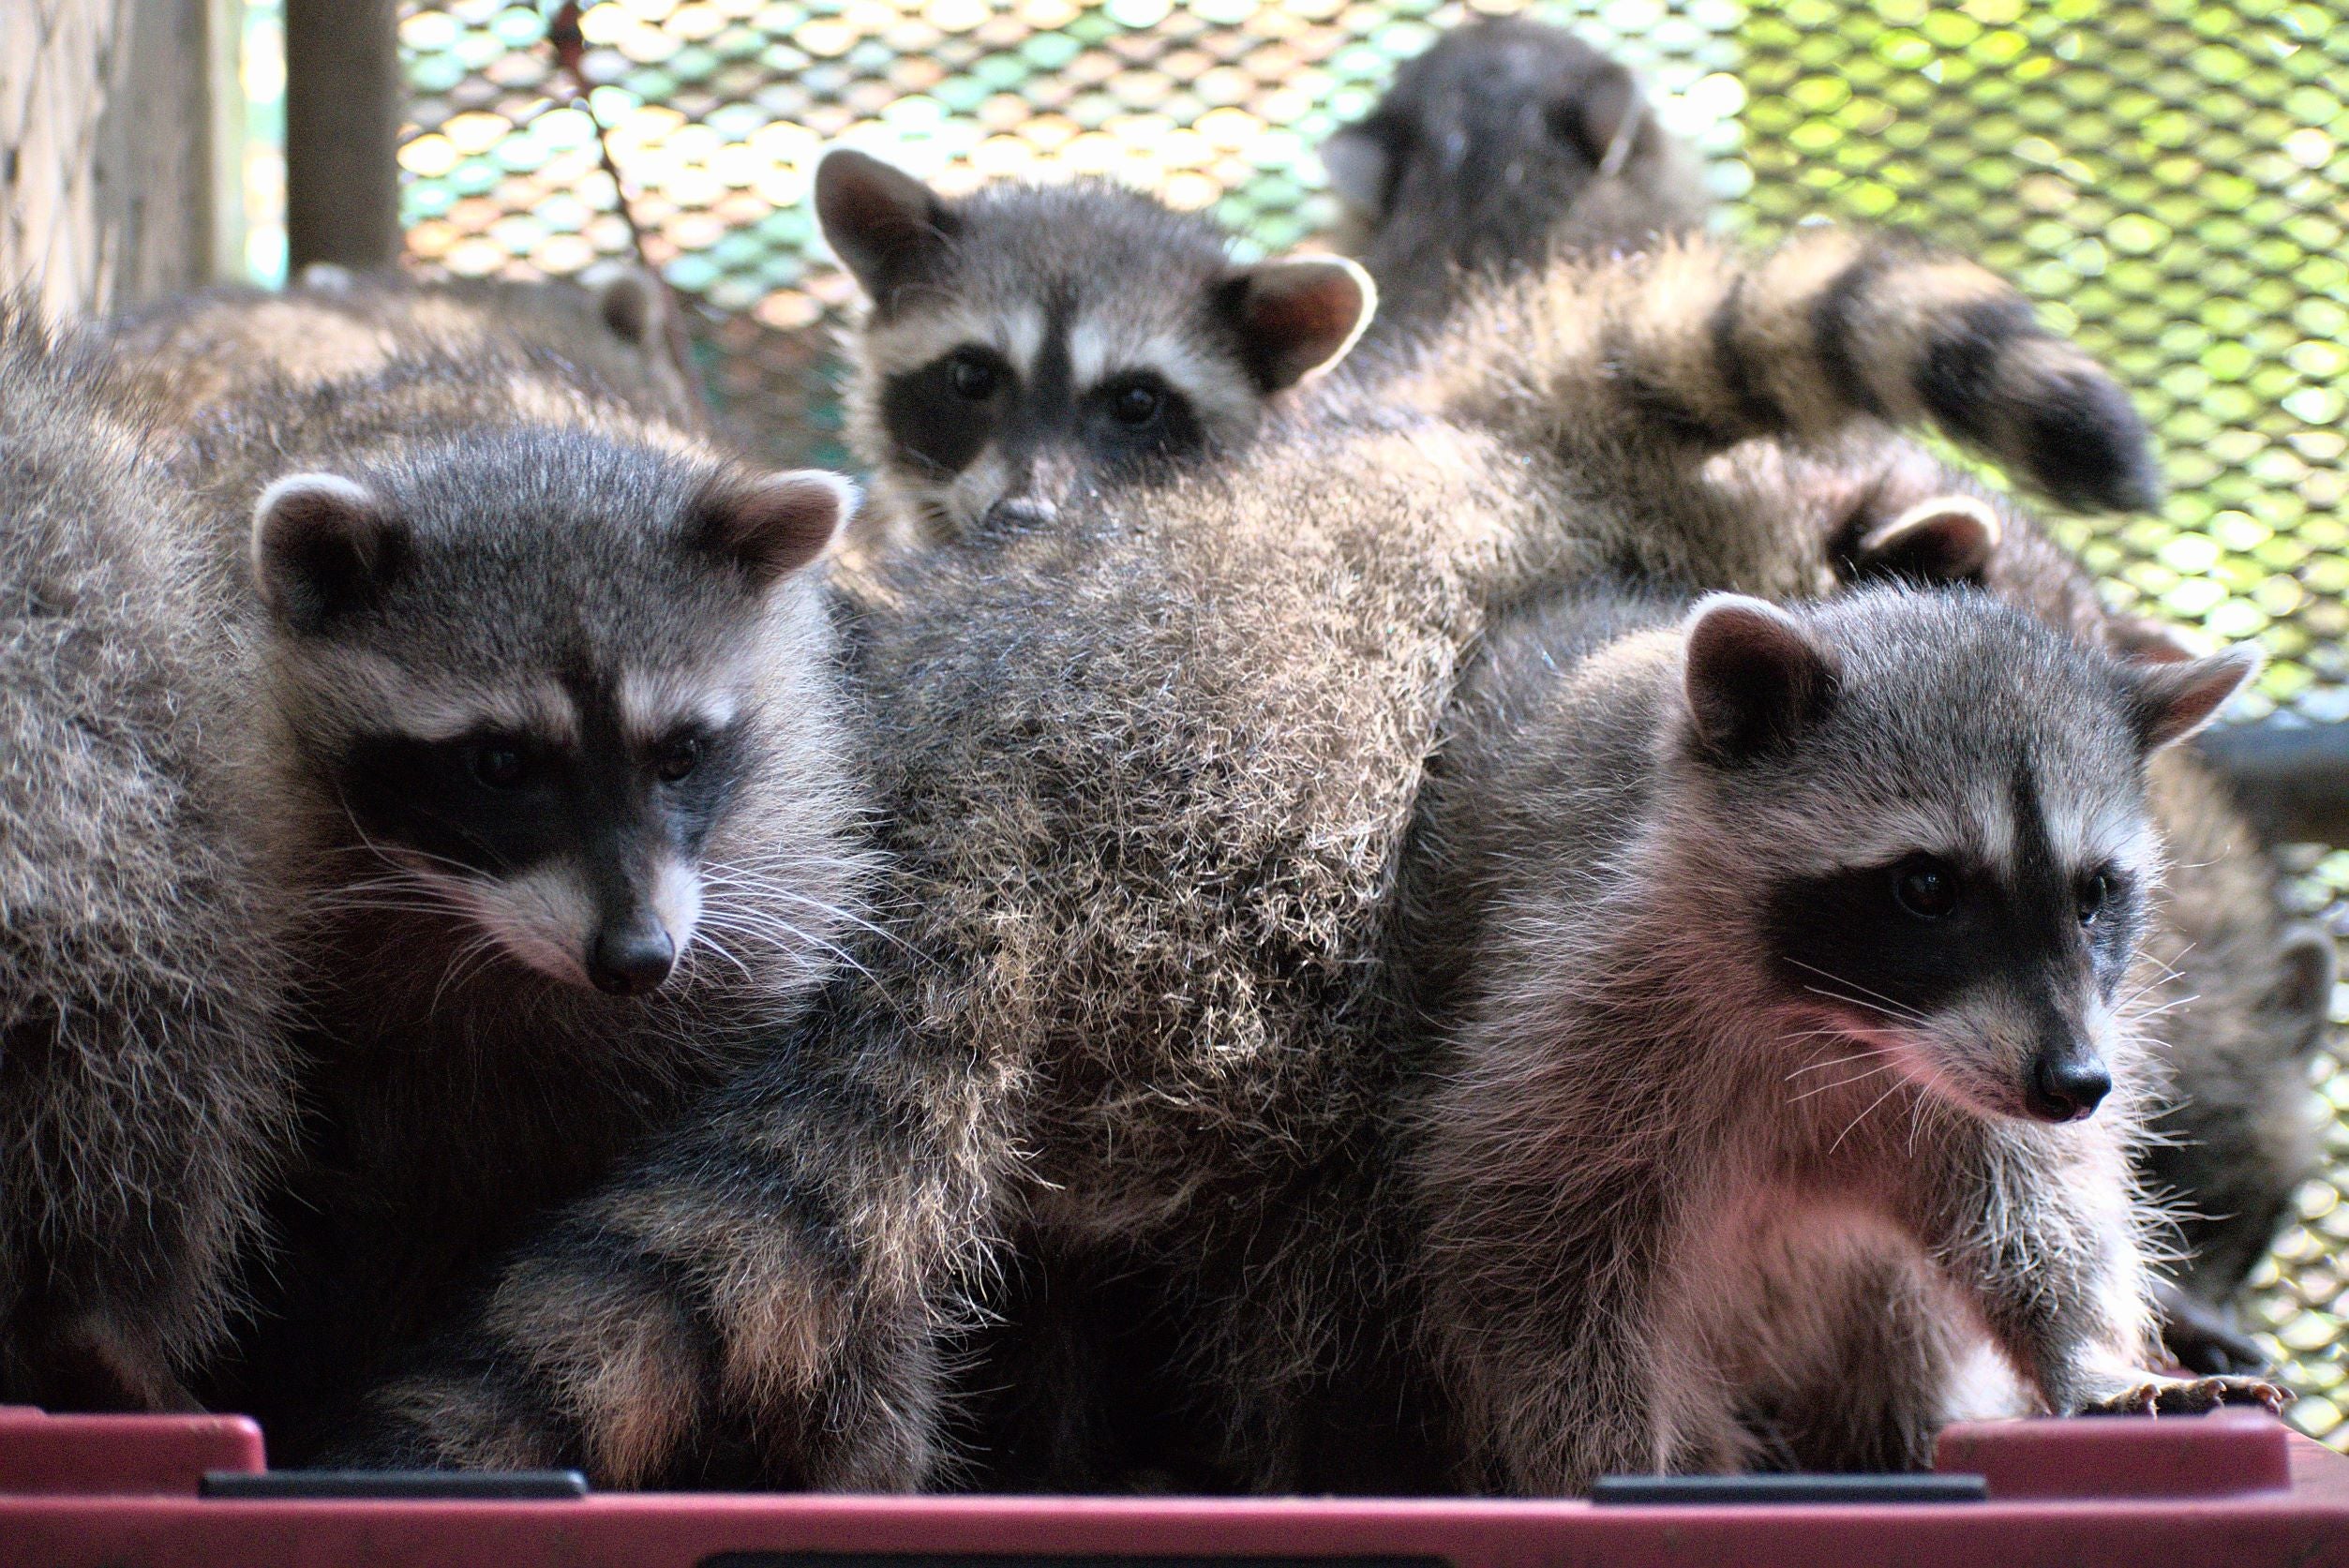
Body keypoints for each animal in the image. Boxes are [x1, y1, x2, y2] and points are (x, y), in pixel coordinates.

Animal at [1402, 583, 2274, 1493]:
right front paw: (1609, 1460)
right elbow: (1531, 1259)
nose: (2075, 1086)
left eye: (2094, 892)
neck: (1849, 1030)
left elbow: (2037, 1203)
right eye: (1926, 885)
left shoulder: (2003, 1065)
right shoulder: (1577, 1000)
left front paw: (2083, 1350)